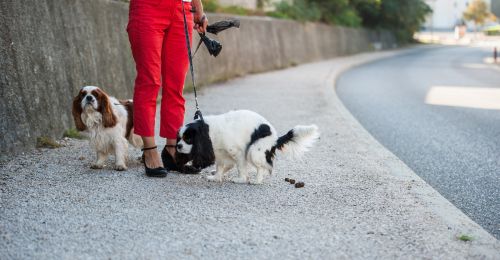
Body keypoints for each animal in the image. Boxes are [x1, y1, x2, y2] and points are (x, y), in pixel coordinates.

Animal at [176, 109, 316, 185]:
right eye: (179, 138)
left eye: (188, 139)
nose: (178, 146)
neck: (209, 131)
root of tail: (275, 138)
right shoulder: (220, 154)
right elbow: (220, 167)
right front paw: (216, 177)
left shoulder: (238, 153)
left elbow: (240, 168)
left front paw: (241, 179)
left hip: (254, 151)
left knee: (262, 168)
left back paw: (257, 181)